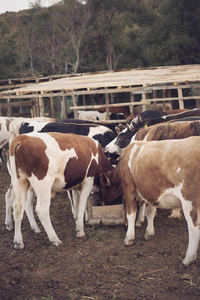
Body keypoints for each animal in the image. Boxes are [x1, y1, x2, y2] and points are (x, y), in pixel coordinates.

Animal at [100, 136, 200, 264]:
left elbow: (131, 214)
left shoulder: (129, 189)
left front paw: (129, 238)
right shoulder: (151, 192)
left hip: (190, 201)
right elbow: (150, 213)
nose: (101, 202)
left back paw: (187, 259)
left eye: (102, 189)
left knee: (194, 227)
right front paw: (149, 232)